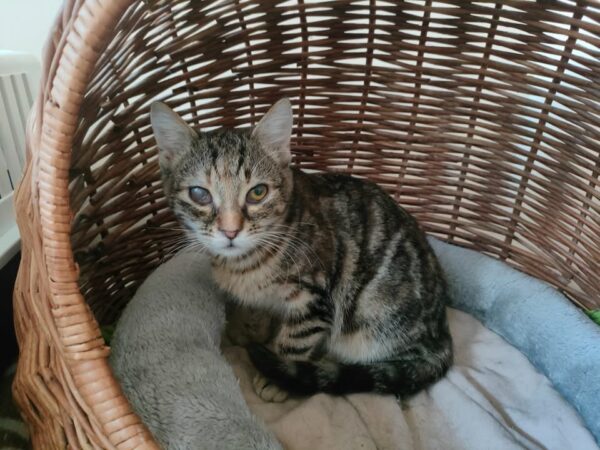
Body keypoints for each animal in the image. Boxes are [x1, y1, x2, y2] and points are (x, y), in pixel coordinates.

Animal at [150, 98, 453, 402]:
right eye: (199, 194)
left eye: (257, 192)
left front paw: (276, 377)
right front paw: (248, 327)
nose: (231, 231)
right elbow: (256, 310)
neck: (245, 264)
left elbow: (295, 340)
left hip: (375, 320)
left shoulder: (315, 298)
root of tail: (441, 332)